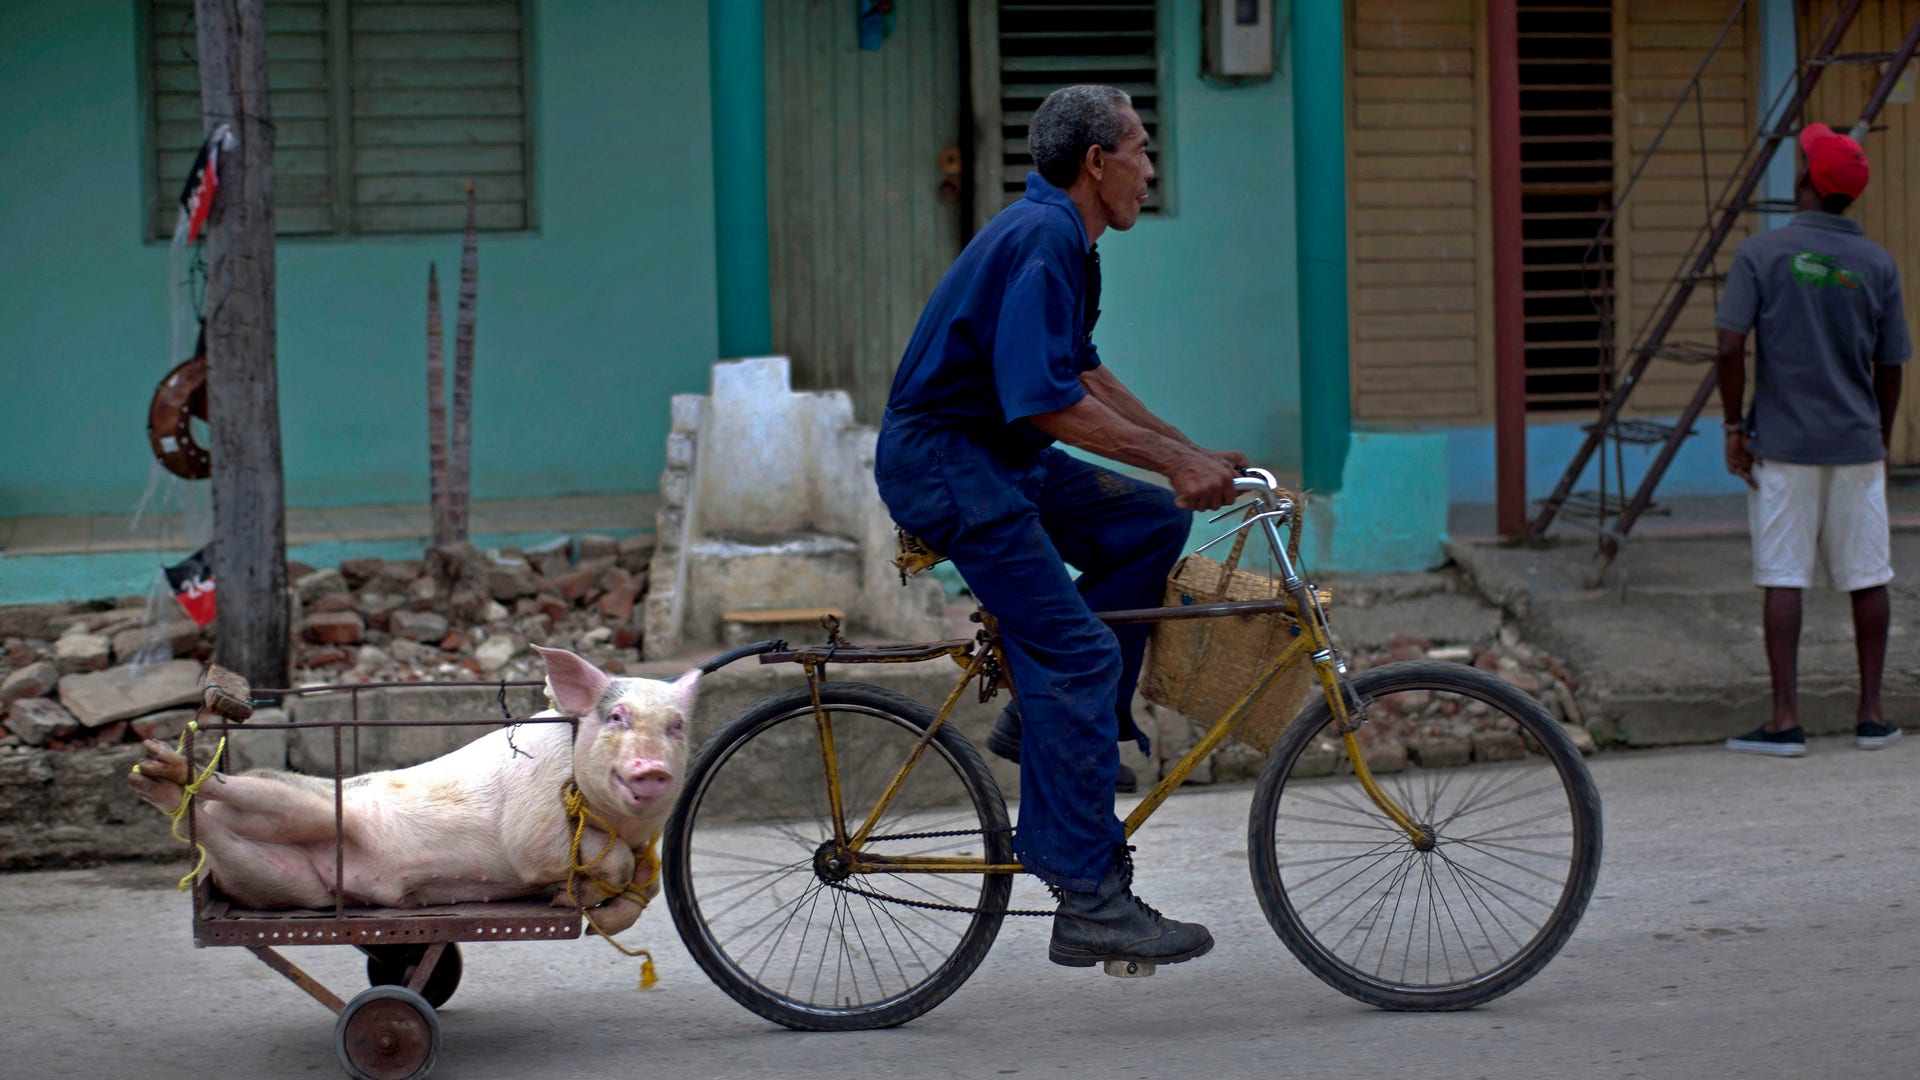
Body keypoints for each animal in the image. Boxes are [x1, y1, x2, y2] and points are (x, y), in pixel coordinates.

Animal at [129, 641, 698, 930]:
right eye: (617, 717)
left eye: (677, 726)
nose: (652, 768)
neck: (618, 822)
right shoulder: (533, 819)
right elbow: (587, 857)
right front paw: (566, 898)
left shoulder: (641, 846)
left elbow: (646, 883)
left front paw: (577, 904)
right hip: (302, 800)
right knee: (228, 788)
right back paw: (156, 769)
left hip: (280, 882)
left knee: (215, 837)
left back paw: (156, 784)